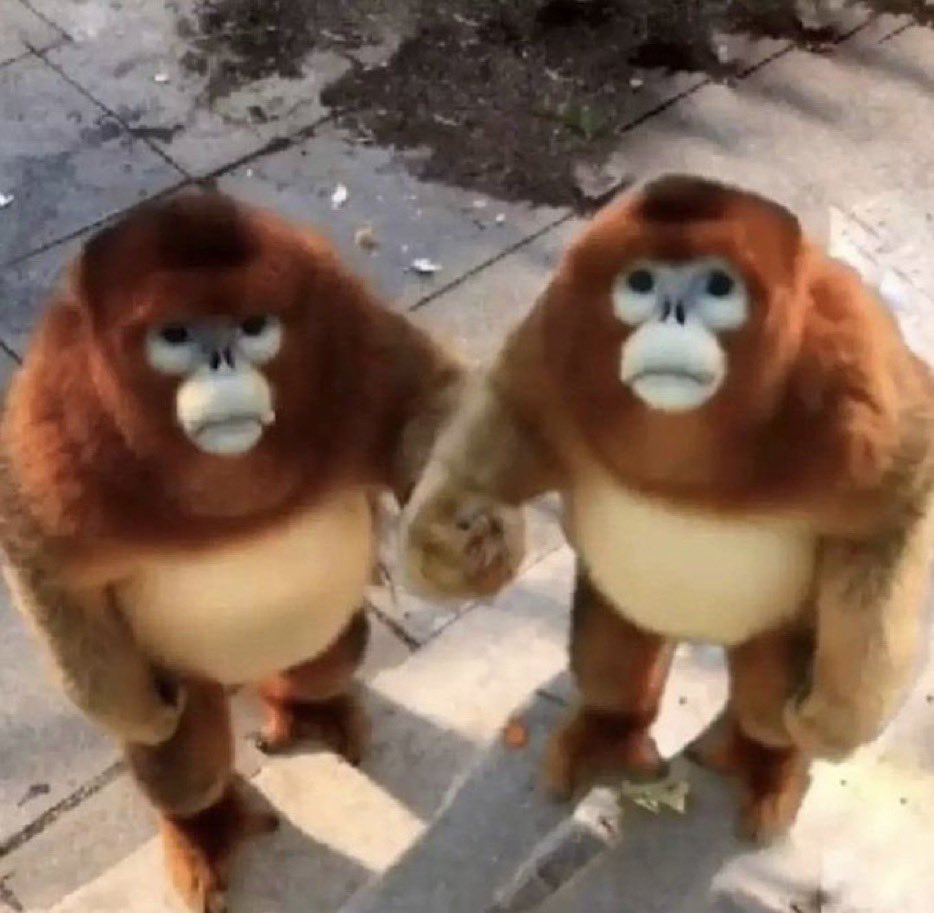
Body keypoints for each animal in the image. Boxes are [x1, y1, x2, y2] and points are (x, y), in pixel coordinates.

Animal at [0, 189, 518, 912]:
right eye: (176, 336)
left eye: (252, 327)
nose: (223, 364)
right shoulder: (57, 416)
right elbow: (44, 568)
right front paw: (137, 713)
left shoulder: (346, 328)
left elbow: (428, 398)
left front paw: (473, 541)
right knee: (184, 767)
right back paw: (204, 825)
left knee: (334, 654)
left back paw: (310, 709)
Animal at [400, 174, 934, 843]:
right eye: (641, 283)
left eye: (718, 287)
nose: (672, 315)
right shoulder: (556, 335)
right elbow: (511, 413)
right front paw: (452, 547)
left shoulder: (856, 370)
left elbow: (897, 513)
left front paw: (839, 717)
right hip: (622, 608)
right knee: (613, 656)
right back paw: (610, 731)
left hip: (781, 628)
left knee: (766, 701)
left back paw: (768, 760)